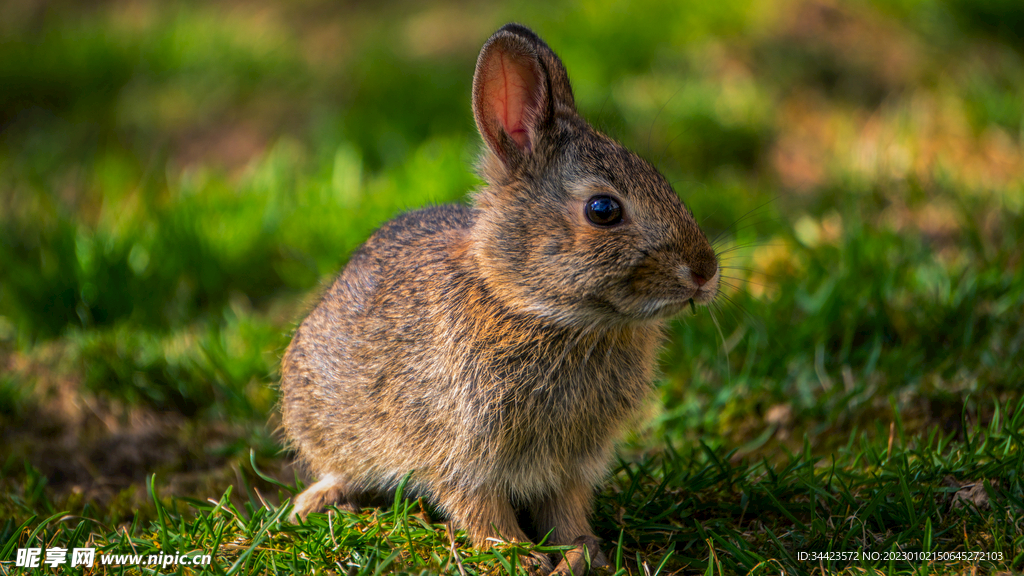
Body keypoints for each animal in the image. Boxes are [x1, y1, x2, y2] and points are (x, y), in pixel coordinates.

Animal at [276, 23, 716, 573]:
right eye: (603, 209)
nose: (705, 272)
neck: (533, 309)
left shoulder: (570, 464)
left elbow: (566, 509)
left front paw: (583, 552)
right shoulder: (461, 452)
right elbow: (479, 507)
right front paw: (517, 555)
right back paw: (318, 502)